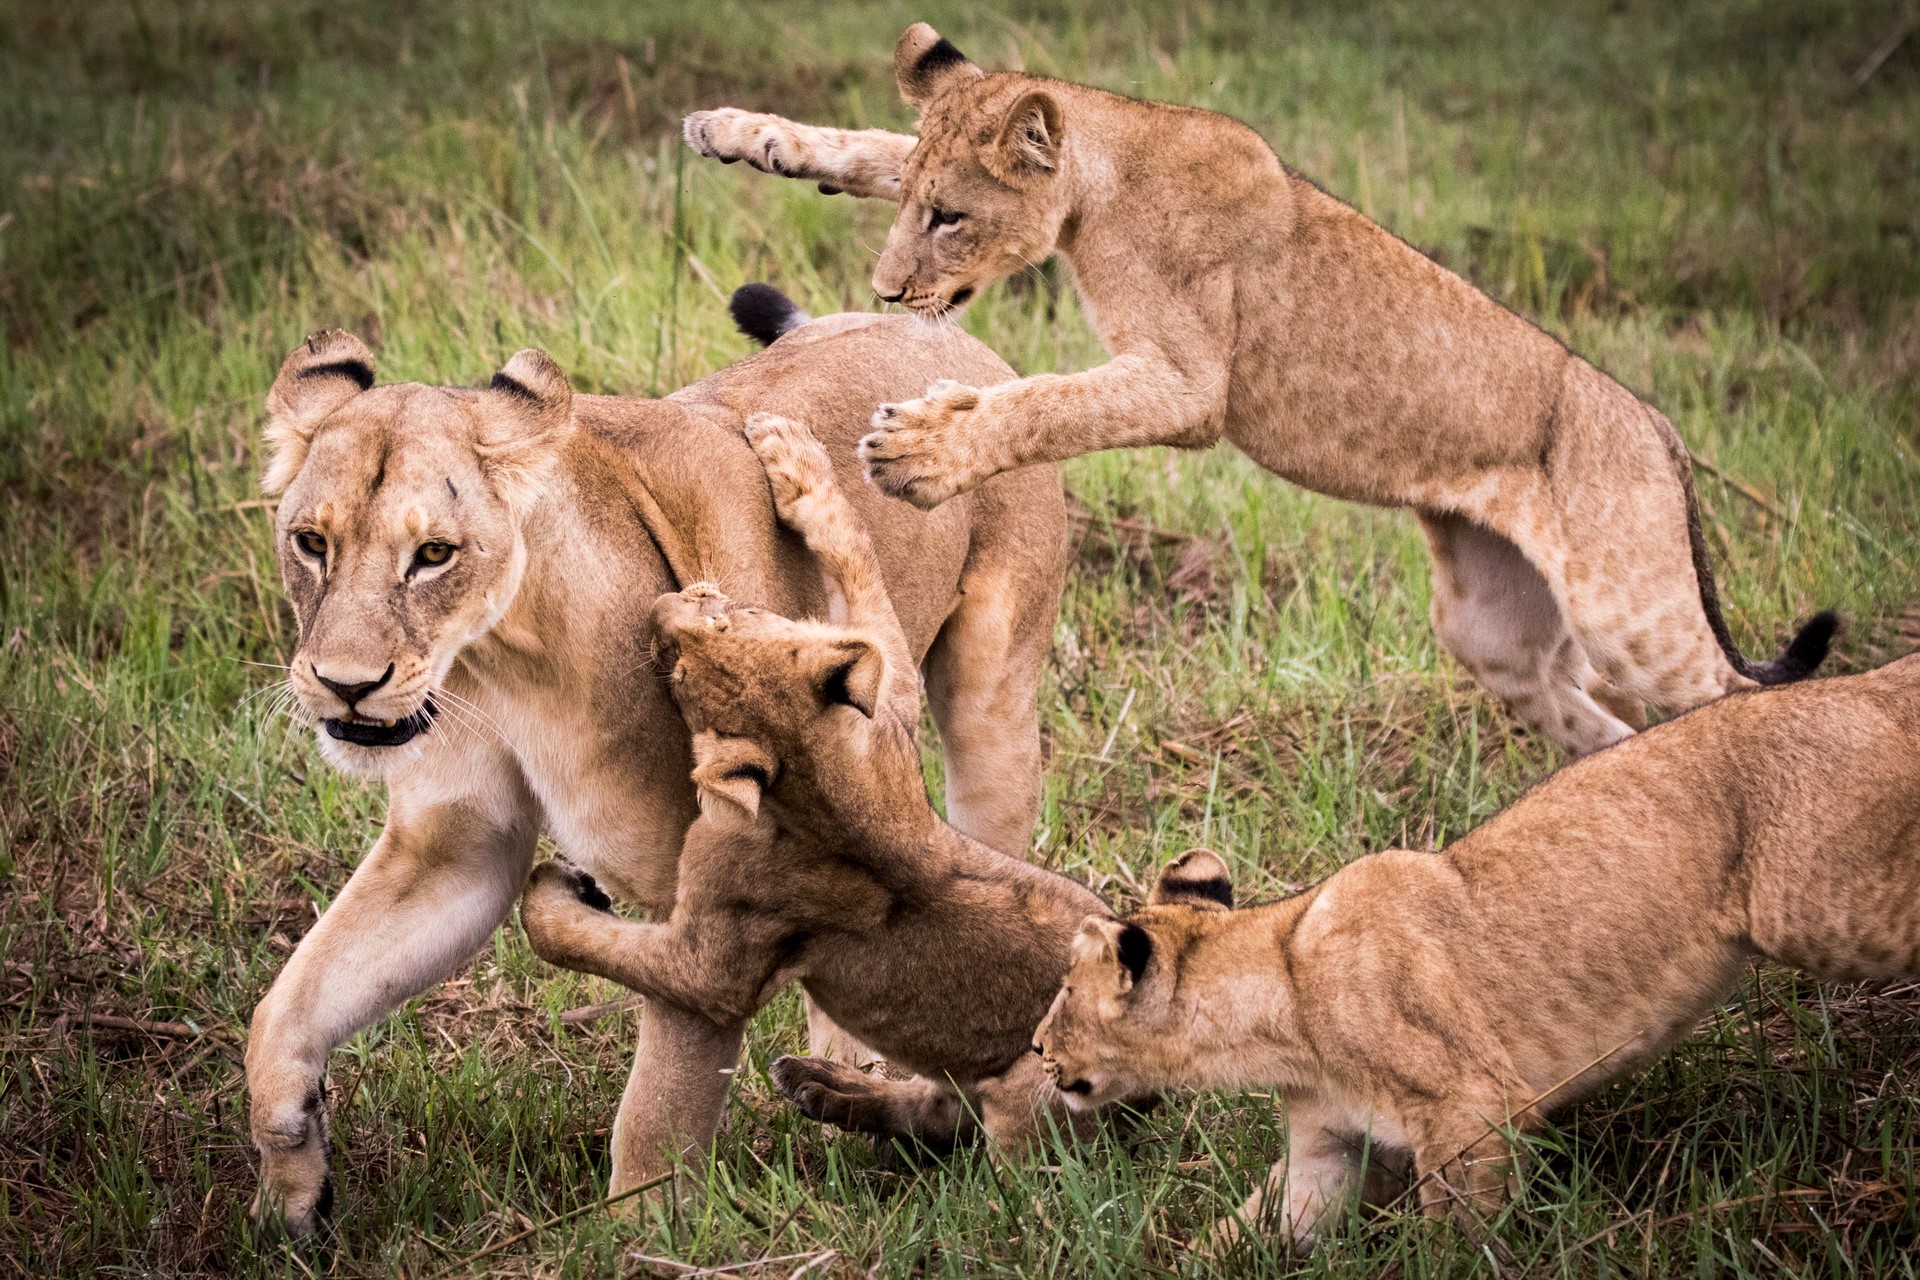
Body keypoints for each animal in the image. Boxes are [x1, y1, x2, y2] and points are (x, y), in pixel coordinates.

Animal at [520, 412, 1120, 1151]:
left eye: (687, 661)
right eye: (719, 622)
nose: (659, 607)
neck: (813, 772)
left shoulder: (718, 963)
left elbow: (590, 942)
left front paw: (550, 889)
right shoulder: (889, 703)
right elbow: (855, 552)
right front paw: (791, 458)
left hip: (1038, 1088)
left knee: (983, 1137)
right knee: (941, 1108)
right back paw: (824, 1086)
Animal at [681, 23, 1834, 756]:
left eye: (951, 219)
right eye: (917, 209)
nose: (886, 292)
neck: (1107, 185)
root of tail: (1661, 428)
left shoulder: (1191, 388)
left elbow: (1048, 401)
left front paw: (923, 449)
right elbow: (873, 144)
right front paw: (742, 133)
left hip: (1631, 612)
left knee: (1732, 693)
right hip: (1496, 632)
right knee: (1595, 718)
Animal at [1034, 654, 1920, 1255]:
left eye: (1064, 995)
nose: (1037, 1048)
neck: (1279, 1001)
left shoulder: (1473, 1106)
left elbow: (1456, 1238)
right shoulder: (1326, 1155)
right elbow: (1243, 1233)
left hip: (1824, 905)